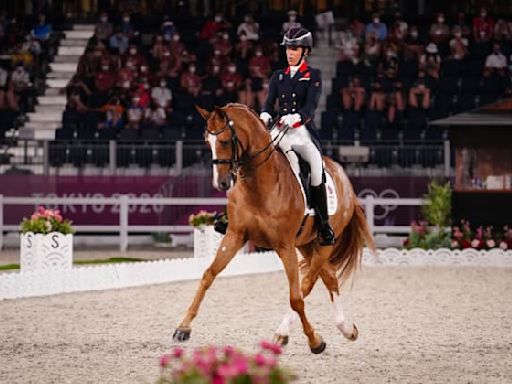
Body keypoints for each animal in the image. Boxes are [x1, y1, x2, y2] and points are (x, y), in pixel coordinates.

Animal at [173, 103, 376, 354]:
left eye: (225, 141)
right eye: (206, 142)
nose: (221, 183)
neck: (260, 184)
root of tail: (345, 179)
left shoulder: (284, 246)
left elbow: (296, 298)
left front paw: (315, 341)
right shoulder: (234, 236)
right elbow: (208, 275)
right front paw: (183, 328)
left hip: (325, 242)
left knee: (307, 285)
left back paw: (284, 332)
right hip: (306, 243)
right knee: (329, 276)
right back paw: (346, 329)